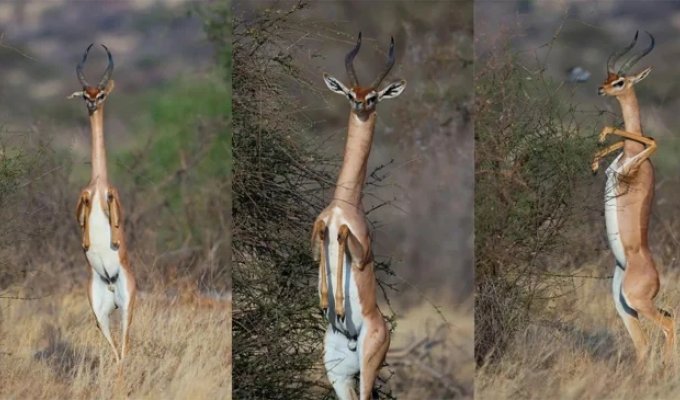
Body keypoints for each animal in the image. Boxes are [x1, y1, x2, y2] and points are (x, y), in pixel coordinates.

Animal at [312, 34, 406, 400]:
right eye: (351, 93)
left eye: (374, 95)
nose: (361, 107)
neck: (345, 204)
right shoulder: (318, 231)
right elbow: (320, 231)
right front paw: (325, 301)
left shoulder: (362, 251)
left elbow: (340, 236)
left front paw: (337, 305)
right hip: (337, 373)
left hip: (367, 368)